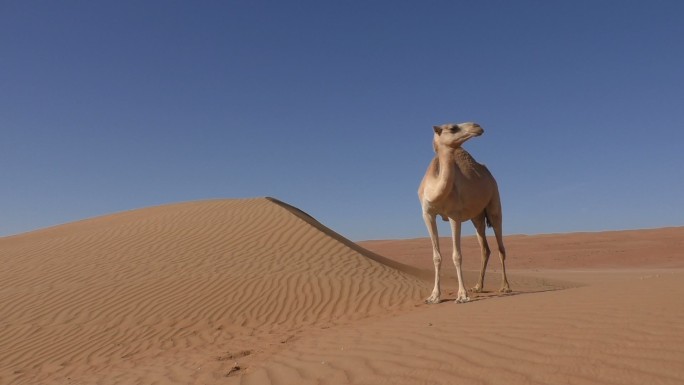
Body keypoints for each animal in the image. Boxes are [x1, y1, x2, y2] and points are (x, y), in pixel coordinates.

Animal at [416, 121, 508, 304]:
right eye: (452, 128)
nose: (477, 126)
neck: (435, 190)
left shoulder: (454, 216)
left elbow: (457, 255)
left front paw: (462, 295)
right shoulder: (427, 214)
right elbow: (436, 257)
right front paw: (434, 296)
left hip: (495, 203)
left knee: (501, 247)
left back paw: (505, 287)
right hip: (477, 217)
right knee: (485, 248)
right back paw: (478, 286)